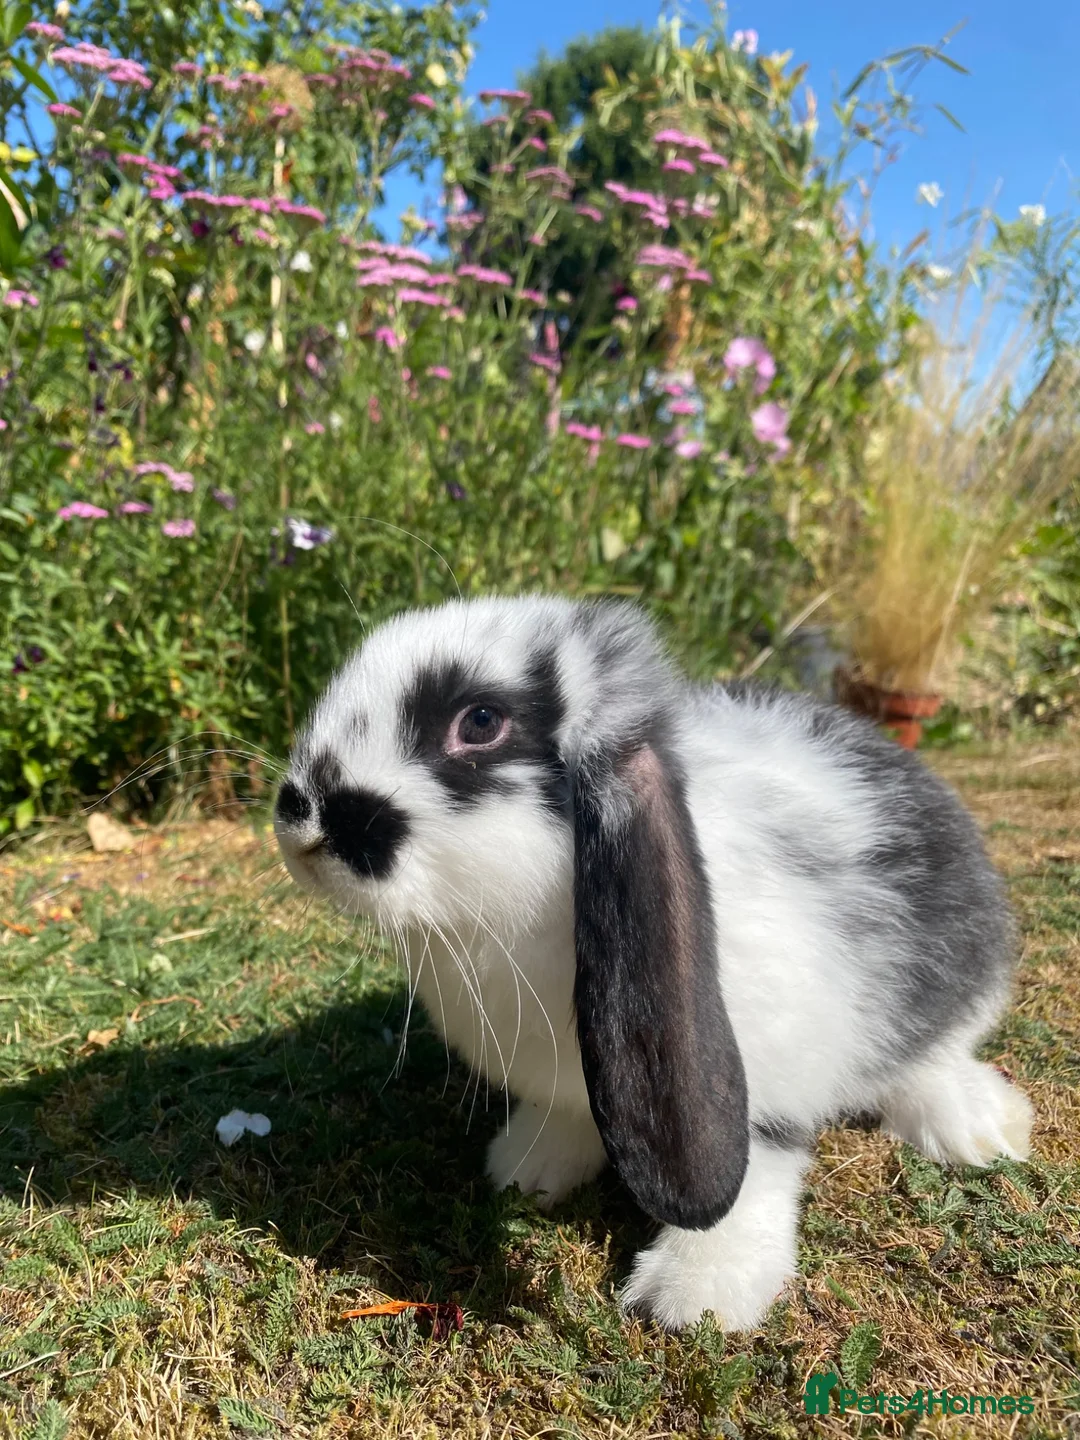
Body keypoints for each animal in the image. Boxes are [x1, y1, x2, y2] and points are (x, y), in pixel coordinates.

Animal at [273, 594, 1032, 1332]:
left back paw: (980, 1130)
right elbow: (569, 1115)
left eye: (481, 722)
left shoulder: (759, 1078)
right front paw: (527, 1168)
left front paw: (695, 1294)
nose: (300, 808)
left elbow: (756, 1175)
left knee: (933, 1056)